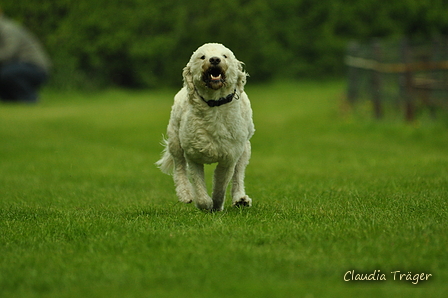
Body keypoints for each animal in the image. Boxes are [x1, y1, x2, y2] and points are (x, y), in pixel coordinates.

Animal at [157, 43, 256, 212]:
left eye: (225, 56)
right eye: (202, 57)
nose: (214, 59)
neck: (214, 104)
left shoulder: (229, 158)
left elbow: (221, 185)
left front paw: (217, 205)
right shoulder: (193, 156)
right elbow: (198, 185)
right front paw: (205, 204)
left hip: (244, 150)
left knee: (238, 175)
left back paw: (240, 199)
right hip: (175, 141)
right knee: (179, 168)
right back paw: (185, 194)